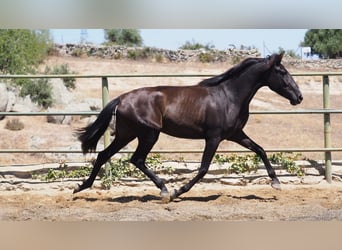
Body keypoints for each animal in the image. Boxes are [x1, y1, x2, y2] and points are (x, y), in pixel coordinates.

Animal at [74, 52, 302, 201]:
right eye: (282, 72)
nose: (299, 97)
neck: (229, 96)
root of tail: (121, 98)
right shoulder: (214, 137)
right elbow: (203, 168)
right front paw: (178, 191)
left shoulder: (236, 134)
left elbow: (260, 150)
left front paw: (276, 182)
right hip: (148, 134)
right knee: (136, 159)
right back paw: (165, 190)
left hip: (127, 134)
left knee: (104, 155)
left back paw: (81, 187)